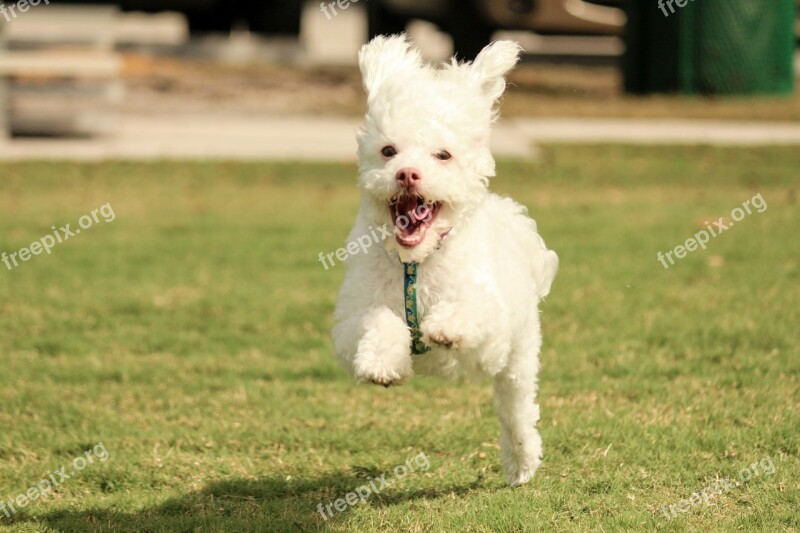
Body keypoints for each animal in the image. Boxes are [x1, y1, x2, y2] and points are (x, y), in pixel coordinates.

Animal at [332, 34, 556, 486]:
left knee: (517, 412)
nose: (407, 174)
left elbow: (470, 309)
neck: (415, 263)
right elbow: (377, 321)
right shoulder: (349, 325)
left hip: (519, 358)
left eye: (443, 155)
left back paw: (522, 462)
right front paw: (383, 364)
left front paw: (446, 326)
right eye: (388, 151)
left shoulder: (493, 329)